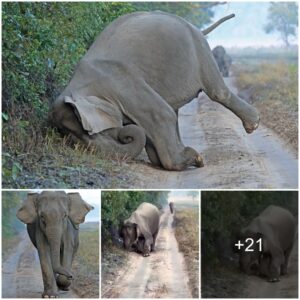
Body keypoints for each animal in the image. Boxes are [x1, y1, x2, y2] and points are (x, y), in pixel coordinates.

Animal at [50, 11, 258, 171]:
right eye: (72, 137)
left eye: (87, 133)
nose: (125, 136)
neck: (79, 85)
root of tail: (194, 27)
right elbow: (150, 125)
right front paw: (177, 158)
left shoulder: (123, 83)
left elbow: (160, 115)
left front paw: (194, 159)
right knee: (174, 108)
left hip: (198, 48)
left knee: (216, 91)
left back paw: (253, 124)